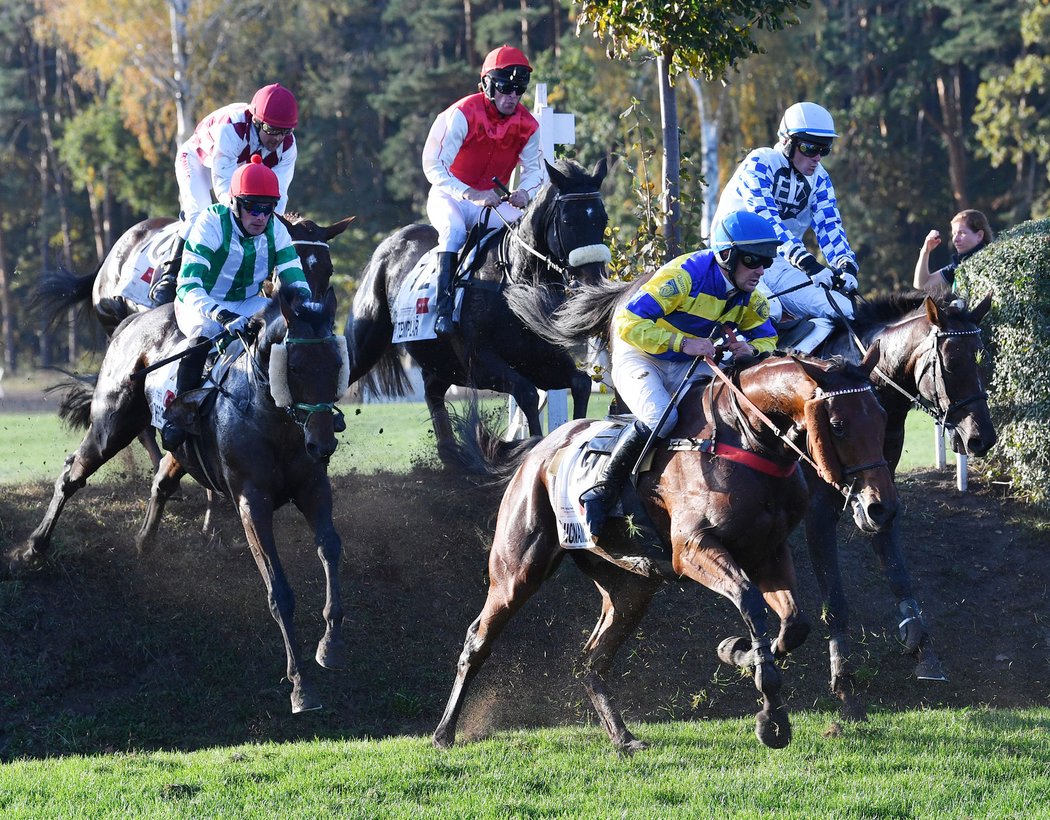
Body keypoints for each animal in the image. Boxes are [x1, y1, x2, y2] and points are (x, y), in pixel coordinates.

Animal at [8, 285, 350, 709]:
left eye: (336, 364)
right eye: (296, 368)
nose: (322, 443)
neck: (271, 419)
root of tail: (132, 319)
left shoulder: (313, 487)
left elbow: (330, 548)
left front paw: (331, 644)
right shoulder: (251, 502)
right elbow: (278, 590)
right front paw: (300, 684)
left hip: (177, 449)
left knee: (161, 480)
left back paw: (144, 541)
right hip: (111, 427)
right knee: (71, 476)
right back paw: (33, 548)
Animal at [344, 158, 609, 459]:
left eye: (602, 220)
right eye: (567, 221)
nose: (593, 281)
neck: (511, 279)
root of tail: (389, 244)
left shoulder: (541, 358)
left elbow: (581, 383)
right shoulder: (480, 363)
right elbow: (528, 393)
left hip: (442, 363)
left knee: (432, 392)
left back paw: (450, 453)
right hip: (365, 345)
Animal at [430, 348, 898, 751]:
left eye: (881, 417)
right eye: (838, 425)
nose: (880, 507)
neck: (747, 438)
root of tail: (537, 451)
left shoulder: (770, 552)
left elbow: (794, 625)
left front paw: (739, 653)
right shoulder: (692, 549)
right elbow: (750, 602)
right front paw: (771, 718)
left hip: (630, 588)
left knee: (592, 660)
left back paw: (623, 738)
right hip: (517, 569)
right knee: (478, 640)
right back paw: (444, 732)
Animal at [806, 291, 995, 713]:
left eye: (983, 359)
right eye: (952, 363)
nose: (982, 439)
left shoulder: (879, 495)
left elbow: (897, 570)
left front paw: (922, 645)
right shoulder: (819, 509)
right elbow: (833, 595)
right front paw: (842, 673)